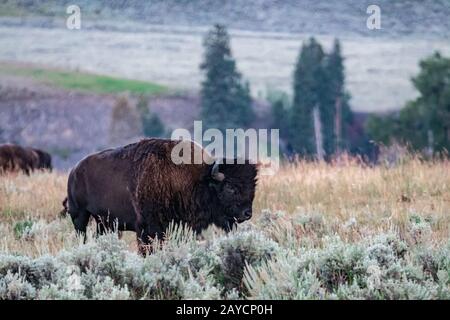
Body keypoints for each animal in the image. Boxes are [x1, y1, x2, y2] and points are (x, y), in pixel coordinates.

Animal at [65, 139, 258, 254]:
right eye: (230, 187)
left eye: (253, 187)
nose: (247, 213)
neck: (198, 180)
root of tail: (74, 170)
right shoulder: (146, 228)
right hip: (79, 216)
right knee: (82, 236)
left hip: (105, 223)